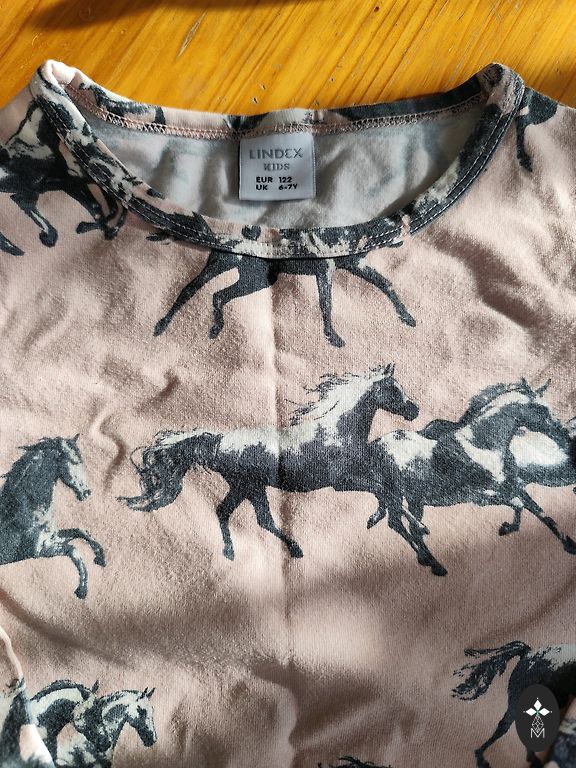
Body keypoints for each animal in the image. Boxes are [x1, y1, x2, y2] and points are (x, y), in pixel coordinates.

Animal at [0, 434, 104, 599]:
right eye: (74, 461)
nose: (87, 492)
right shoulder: (40, 551)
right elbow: (73, 550)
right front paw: (82, 590)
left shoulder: (53, 537)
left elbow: (80, 531)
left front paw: (100, 558)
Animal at [118, 363, 420, 560]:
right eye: (394, 389)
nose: (414, 410)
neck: (338, 430)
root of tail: (219, 441)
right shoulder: (341, 482)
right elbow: (381, 488)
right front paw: (408, 523)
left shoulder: (361, 473)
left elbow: (385, 487)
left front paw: (384, 518)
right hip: (248, 485)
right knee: (251, 517)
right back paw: (284, 550)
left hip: (246, 487)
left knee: (233, 514)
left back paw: (242, 552)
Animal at [151, 247, 416, 347]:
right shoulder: (325, 268)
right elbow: (326, 302)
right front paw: (333, 337)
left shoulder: (355, 264)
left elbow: (386, 284)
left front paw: (408, 318)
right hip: (228, 268)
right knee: (190, 289)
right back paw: (161, 326)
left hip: (254, 277)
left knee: (216, 294)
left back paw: (214, 328)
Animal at [365, 378, 576, 576]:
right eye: (541, 409)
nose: (565, 434)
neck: (482, 445)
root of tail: (376, 445)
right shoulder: (479, 496)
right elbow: (519, 504)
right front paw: (506, 528)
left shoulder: (511, 488)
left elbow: (539, 512)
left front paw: (569, 544)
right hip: (396, 495)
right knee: (398, 522)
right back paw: (433, 561)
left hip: (415, 499)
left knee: (408, 526)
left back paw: (430, 561)